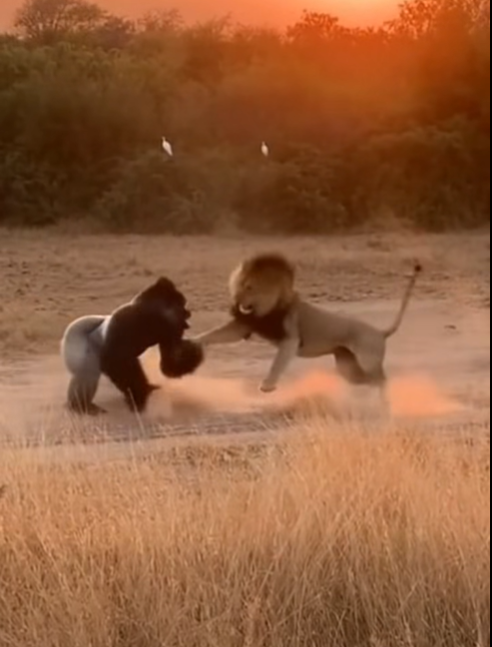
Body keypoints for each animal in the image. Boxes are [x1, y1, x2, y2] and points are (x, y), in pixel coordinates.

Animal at [193, 252, 422, 395]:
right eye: (238, 285)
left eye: (249, 287)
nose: (236, 301)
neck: (266, 307)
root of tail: (380, 332)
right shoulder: (244, 327)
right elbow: (213, 334)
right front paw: (193, 341)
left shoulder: (291, 338)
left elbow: (278, 362)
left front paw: (267, 386)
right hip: (347, 366)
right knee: (369, 381)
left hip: (368, 359)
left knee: (383, 380)